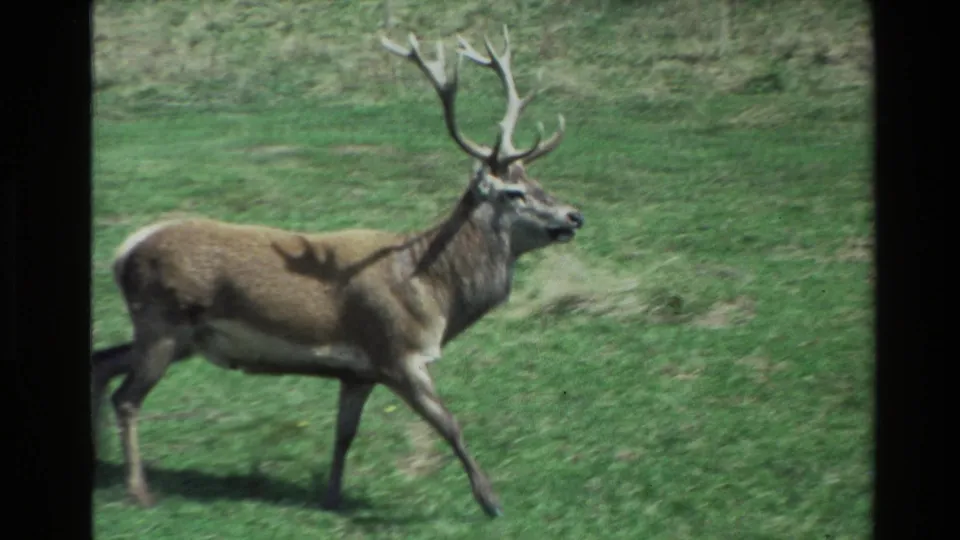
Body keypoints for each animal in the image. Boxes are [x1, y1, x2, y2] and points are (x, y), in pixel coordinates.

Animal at [91, 25, 584, 519]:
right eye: (514, 192)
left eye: (537, 181)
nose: (575, 215)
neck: (432, 291)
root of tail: (124, 251)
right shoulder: (397, 352)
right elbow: (450, 424)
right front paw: (491, 501)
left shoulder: (358, 372)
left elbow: (344, 434)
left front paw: (332, 497)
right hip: (164, 321)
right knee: (126, 398)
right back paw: (138, 490)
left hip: (174, 335)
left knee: (102, 362)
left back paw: (102, 464)